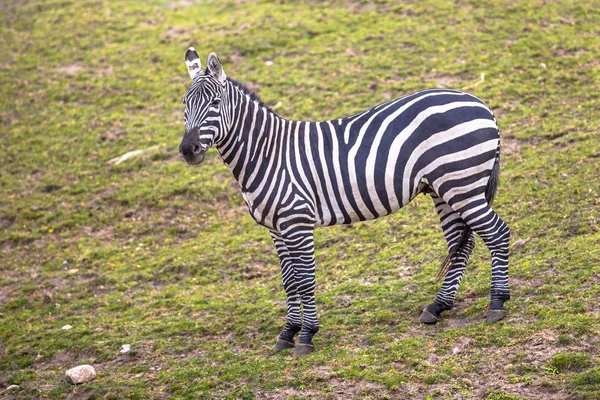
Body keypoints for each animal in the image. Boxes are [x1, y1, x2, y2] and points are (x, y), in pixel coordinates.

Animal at [178, 49, 510, 356]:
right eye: (184, 105)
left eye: (215, 103)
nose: (187, 150)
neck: (266, 153)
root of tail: (480, 103)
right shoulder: (275, 227)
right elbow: (289, 281)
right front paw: (287, 332)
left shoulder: (297, 222)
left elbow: (305, 279)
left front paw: (306, 335)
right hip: (444, 189)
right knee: (462, 244)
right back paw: (438, 306)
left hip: (462, 184)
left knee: (498, 233)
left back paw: (497, 303)